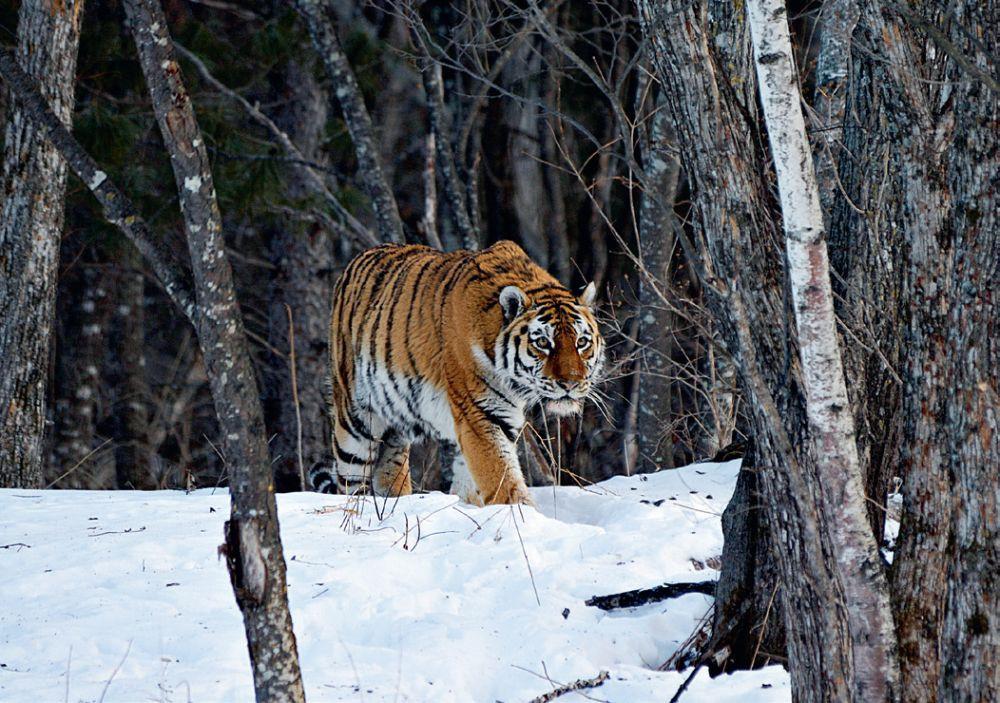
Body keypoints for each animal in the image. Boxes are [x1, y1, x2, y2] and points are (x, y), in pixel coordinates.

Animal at [308, 242, 600, 506]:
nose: (570, 383)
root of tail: (356, 260)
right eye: (542, 343)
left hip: (394, 427)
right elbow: (502, 479)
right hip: (355, 423)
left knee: (389, 471)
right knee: (350, 484)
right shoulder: (480, 413)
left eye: (581, 342)